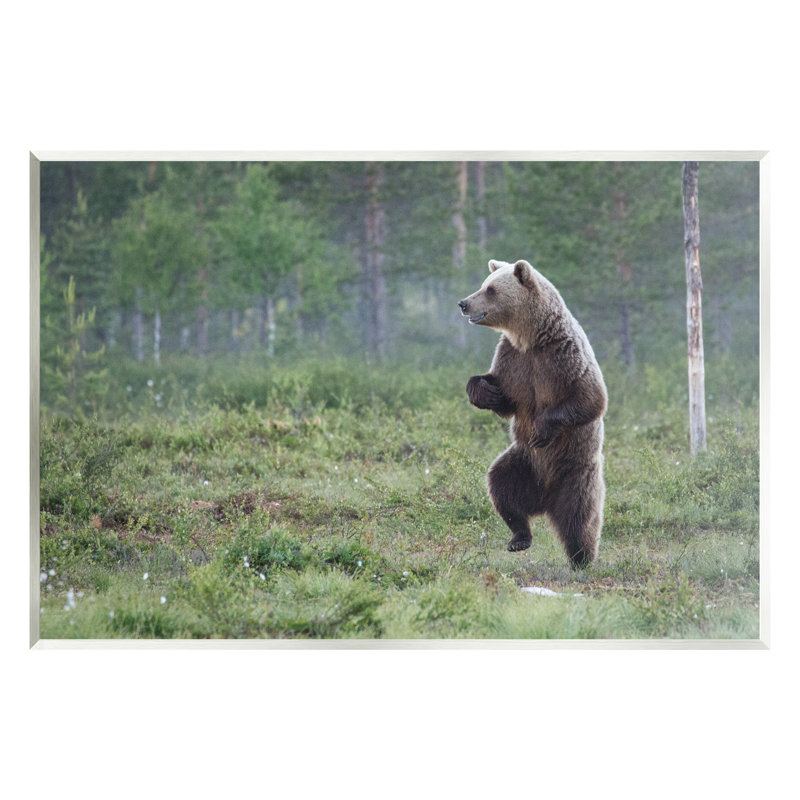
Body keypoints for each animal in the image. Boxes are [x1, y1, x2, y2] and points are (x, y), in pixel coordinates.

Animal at [458, 258, 607, 568]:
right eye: (484, 284)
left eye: (490, 290)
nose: (463, 303)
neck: (531, 338)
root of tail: (545, 501)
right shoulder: (513, 360)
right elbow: (506, 397)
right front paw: (484, 391)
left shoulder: (563, 357)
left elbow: (590, 397)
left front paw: (541, 429)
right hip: (523, 463)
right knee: (501, 486)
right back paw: (519, 538)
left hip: (575, 471)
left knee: (580, 517)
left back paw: (582, 559)